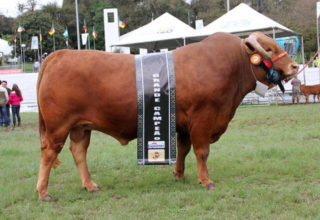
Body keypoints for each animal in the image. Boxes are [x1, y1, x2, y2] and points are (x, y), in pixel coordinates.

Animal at [36, 32, 298, 201]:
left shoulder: (183, 124)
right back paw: (43, 192)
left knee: (79, 152)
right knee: (49, 153)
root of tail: (60, 54)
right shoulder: (203, 118)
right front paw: (206, 181)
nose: (294, 66)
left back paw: (90, 186)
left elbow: (183, 149)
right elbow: (202, 151)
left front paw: (179, 174)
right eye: (270, 49)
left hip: (81, 127)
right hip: (58, 126)